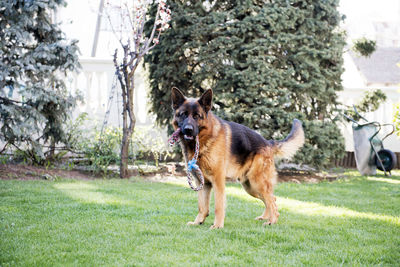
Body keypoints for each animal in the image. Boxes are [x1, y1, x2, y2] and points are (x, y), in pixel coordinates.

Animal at [170, 88, 304, 230]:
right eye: (183, 115)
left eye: (197, 116)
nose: (188, 130)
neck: (204, 139)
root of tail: (268, 143)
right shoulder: (202, 183)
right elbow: (202, 206)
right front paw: (198, 222)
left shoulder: (218, 182)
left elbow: (218, 206)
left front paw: (217, 226)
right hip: (251, 187)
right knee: (272, 199)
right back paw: (265, 217)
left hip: (257, 183)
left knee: (272, 201)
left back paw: (271, 221)